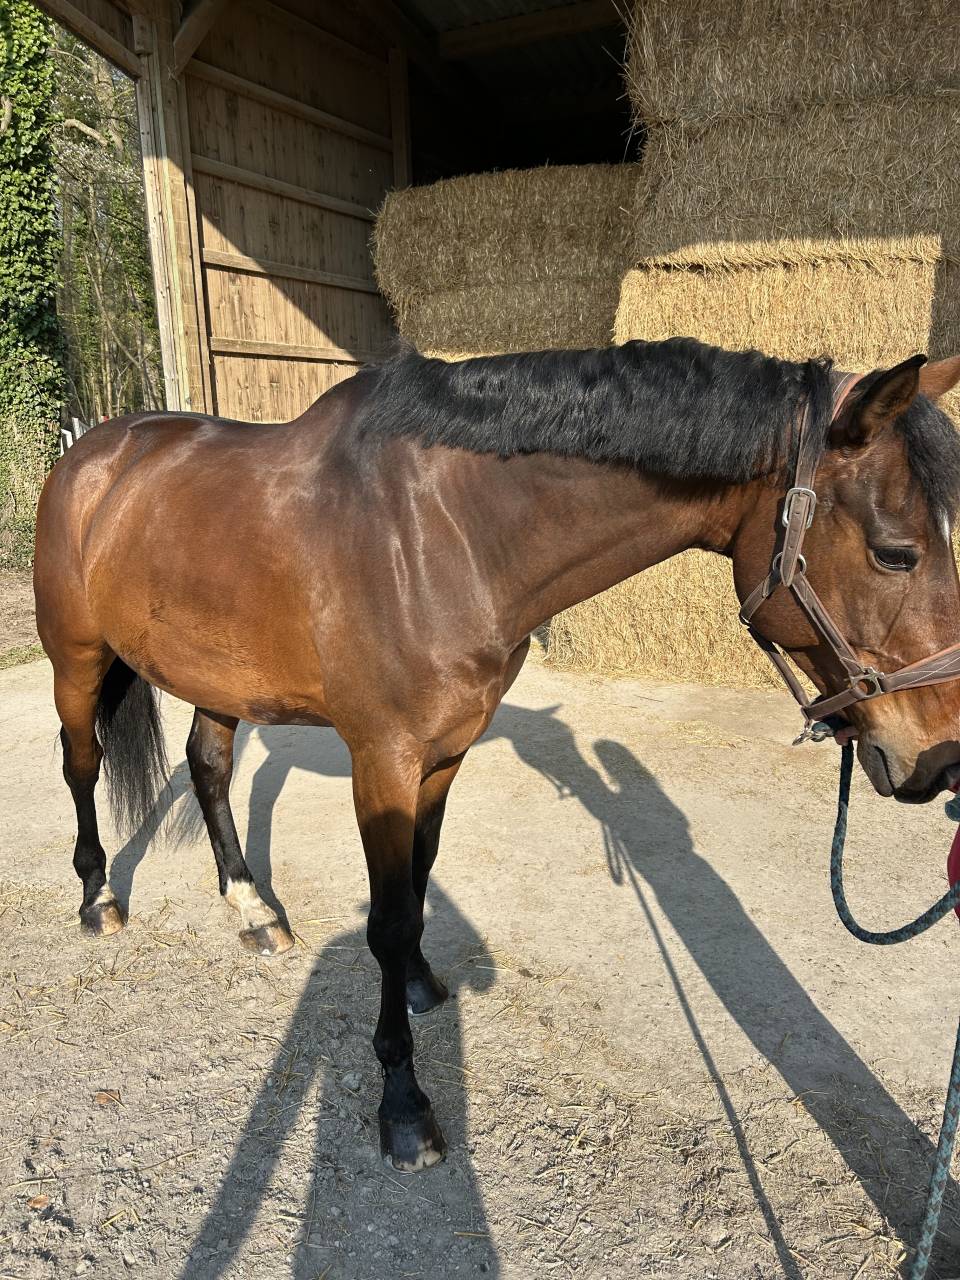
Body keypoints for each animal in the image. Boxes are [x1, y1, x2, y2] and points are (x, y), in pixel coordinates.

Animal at [33, 336, 960, 1172]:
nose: (941, 760)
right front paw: (403, 1106)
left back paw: (254, 907)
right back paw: (96, 900)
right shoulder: (383, 760)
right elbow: (386, 916)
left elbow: (417, 885)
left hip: (220, 676)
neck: (440, 536)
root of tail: (96, 452)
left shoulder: (444, 755)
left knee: (210, 767)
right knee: (80, 765)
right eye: (896, 552)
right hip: (76, 660)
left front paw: (418, 984)